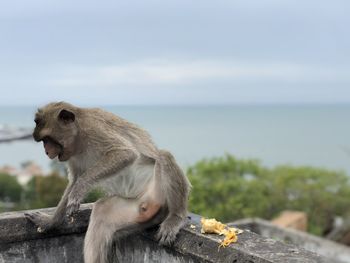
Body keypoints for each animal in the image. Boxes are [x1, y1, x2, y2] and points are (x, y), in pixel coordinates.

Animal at [24, 101, 191, 263]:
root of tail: (150, 205)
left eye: (48, 140)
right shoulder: (72, 155)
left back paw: (175, 217)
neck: (79, 138)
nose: (47, 152)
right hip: (136, 208)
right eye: (44, 141)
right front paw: (50, 222)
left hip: (158, 193)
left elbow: (125, 154)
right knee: (101, 213)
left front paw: (78, 190)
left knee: (164, 156)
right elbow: (74, 180)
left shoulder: (95, 130)